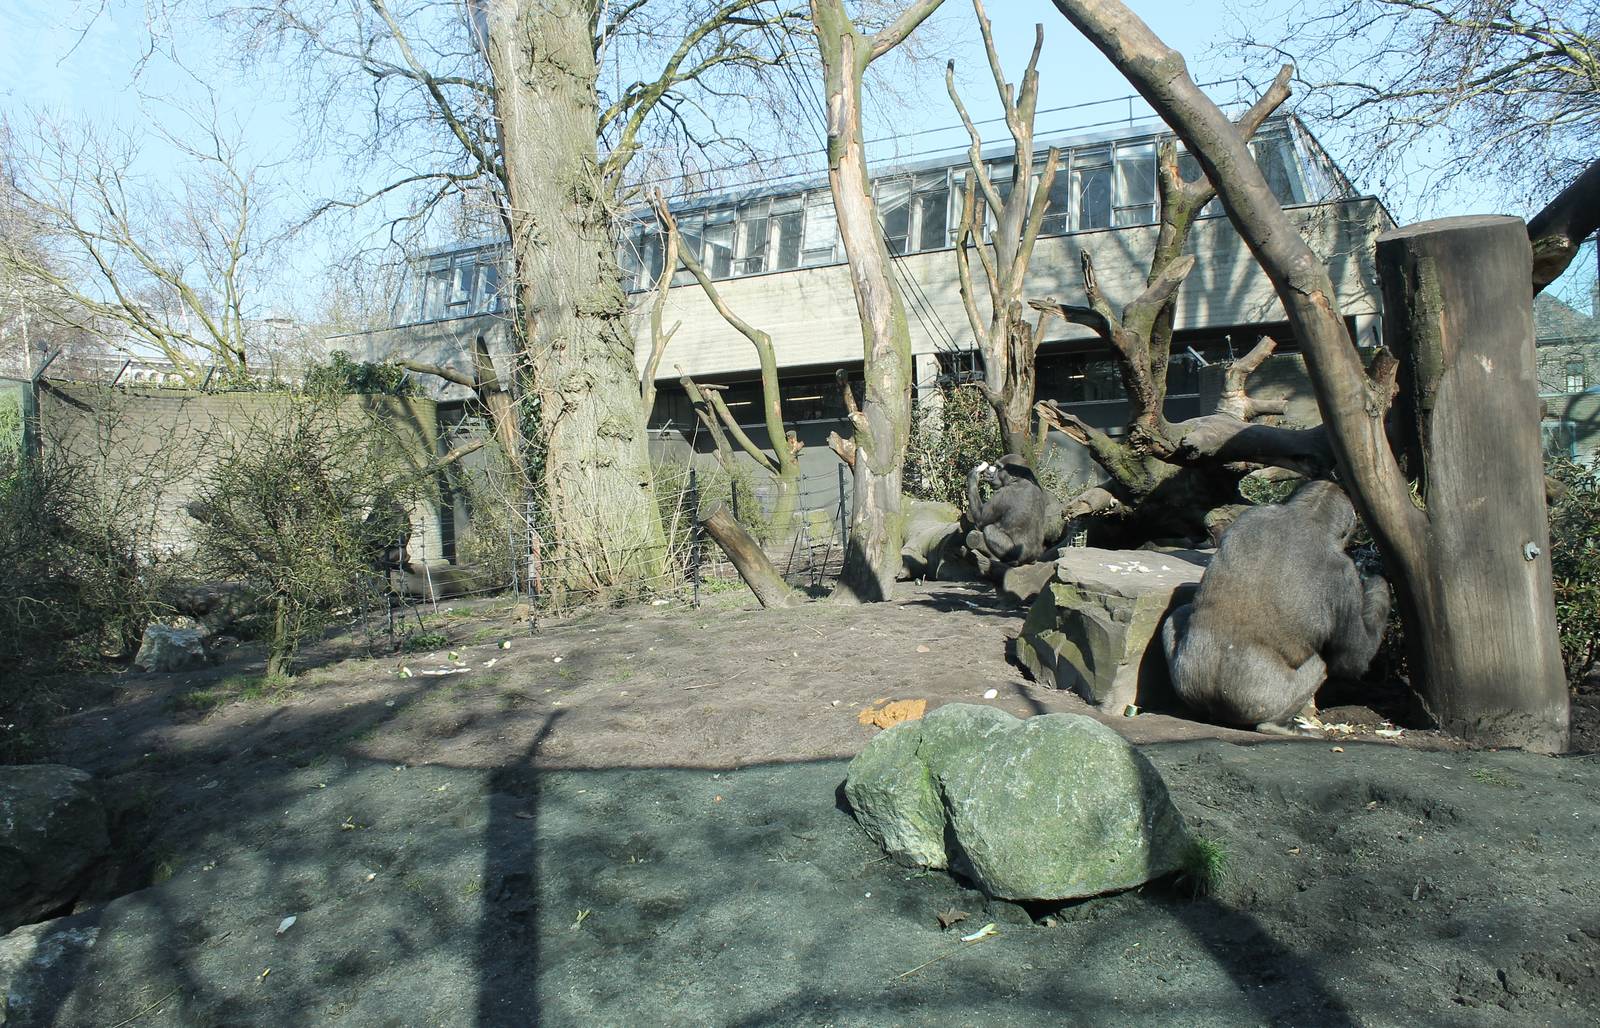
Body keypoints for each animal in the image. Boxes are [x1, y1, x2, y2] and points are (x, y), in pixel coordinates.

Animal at [1159, 479, 1391, 732]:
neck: (1309, 515)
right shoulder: (1344, 575)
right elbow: (1354, 659)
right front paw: (1378, 581)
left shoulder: (1251, 515)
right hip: (1260, 702)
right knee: (1320, 665)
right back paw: (1275, 726)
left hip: (1187, 682)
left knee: (1176, 615)